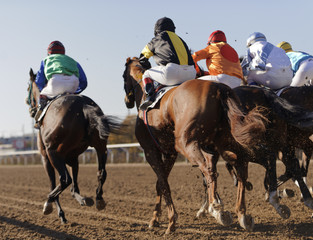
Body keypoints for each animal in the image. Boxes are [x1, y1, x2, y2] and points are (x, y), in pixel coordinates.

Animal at [26, 68, 120, 224]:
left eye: (28, 88)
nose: (30, 109)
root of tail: (84, 106)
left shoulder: (46, 157)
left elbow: (55, 182)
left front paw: (56, 210)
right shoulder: (72, 156)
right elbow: (74, 185)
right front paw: (82, 199)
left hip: (52, 152)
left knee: (65, 179)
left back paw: (48, 201)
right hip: (101, 146)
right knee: (101, 173)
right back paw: (98, 200)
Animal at [122, 56, 270, 232]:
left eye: (123, 76)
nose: (127, 101)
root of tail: (219, 88)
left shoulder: (150, 151)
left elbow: (163, 183)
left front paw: (169, 220)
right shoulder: (170, 153)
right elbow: (160, 183)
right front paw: (155, 219)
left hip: (186, 142)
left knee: (209, 168)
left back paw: (216, 206)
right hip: (225, 141)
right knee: (241, 167)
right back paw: (242, 214)